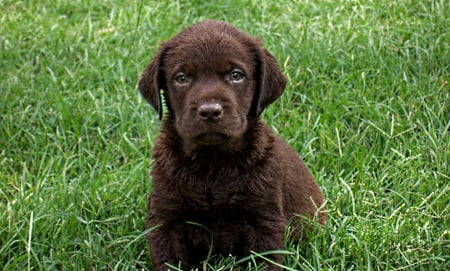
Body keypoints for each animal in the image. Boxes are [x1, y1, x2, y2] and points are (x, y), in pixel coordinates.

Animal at [138, 20, 326, 270]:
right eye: (181, 78)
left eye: (236, 75)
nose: (210, 111)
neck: (211, 162)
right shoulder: (165, 220)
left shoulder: (264, 221)